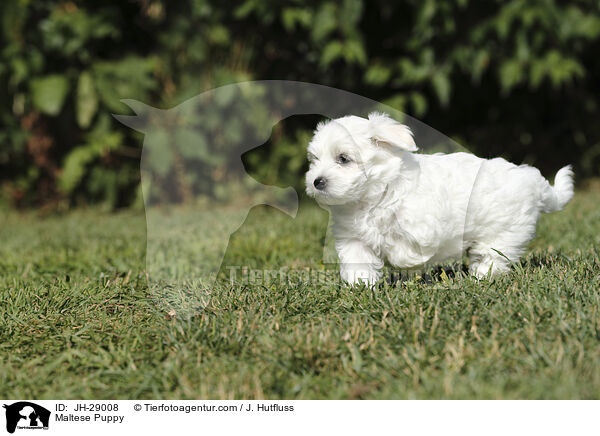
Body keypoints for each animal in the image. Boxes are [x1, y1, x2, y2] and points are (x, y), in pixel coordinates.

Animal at [308, 112, 576, 284]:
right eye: (315, 160)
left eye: (343, 159)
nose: (316, 181)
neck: (373, 195)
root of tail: (531, 179)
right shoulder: (353, 238)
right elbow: (358, 260)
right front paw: (360, 286)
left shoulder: (422, 226)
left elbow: (405, 249)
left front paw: (401, 266)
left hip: (505, 231)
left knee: (493, 256)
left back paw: (480, 277)